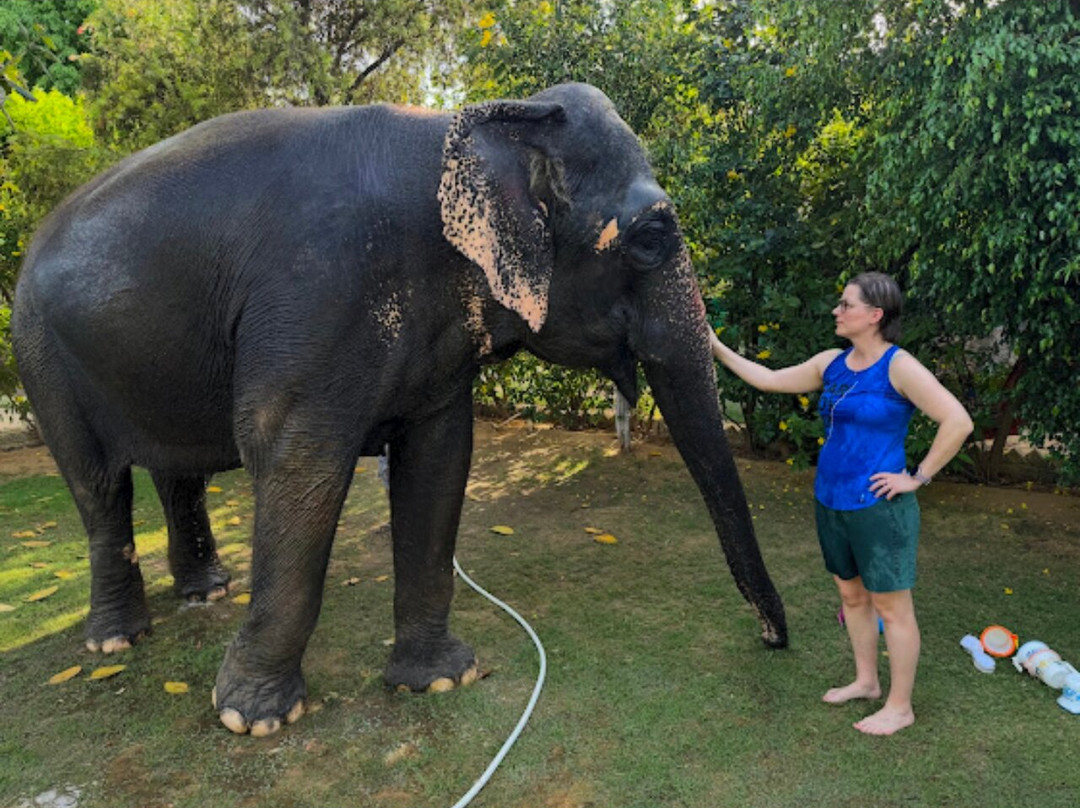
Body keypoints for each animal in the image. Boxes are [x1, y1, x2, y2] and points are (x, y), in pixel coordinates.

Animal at [12, 82, 786, 737]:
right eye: (653, 239)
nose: (773, 640)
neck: (464, 129)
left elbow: (439, 460)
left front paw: (441, 681)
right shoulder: (312, 299)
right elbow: (298, 465)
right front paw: (253, 721)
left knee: (179, 472)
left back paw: (206, 594)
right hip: (39, 350)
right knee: (98, 485)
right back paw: (118, 638)